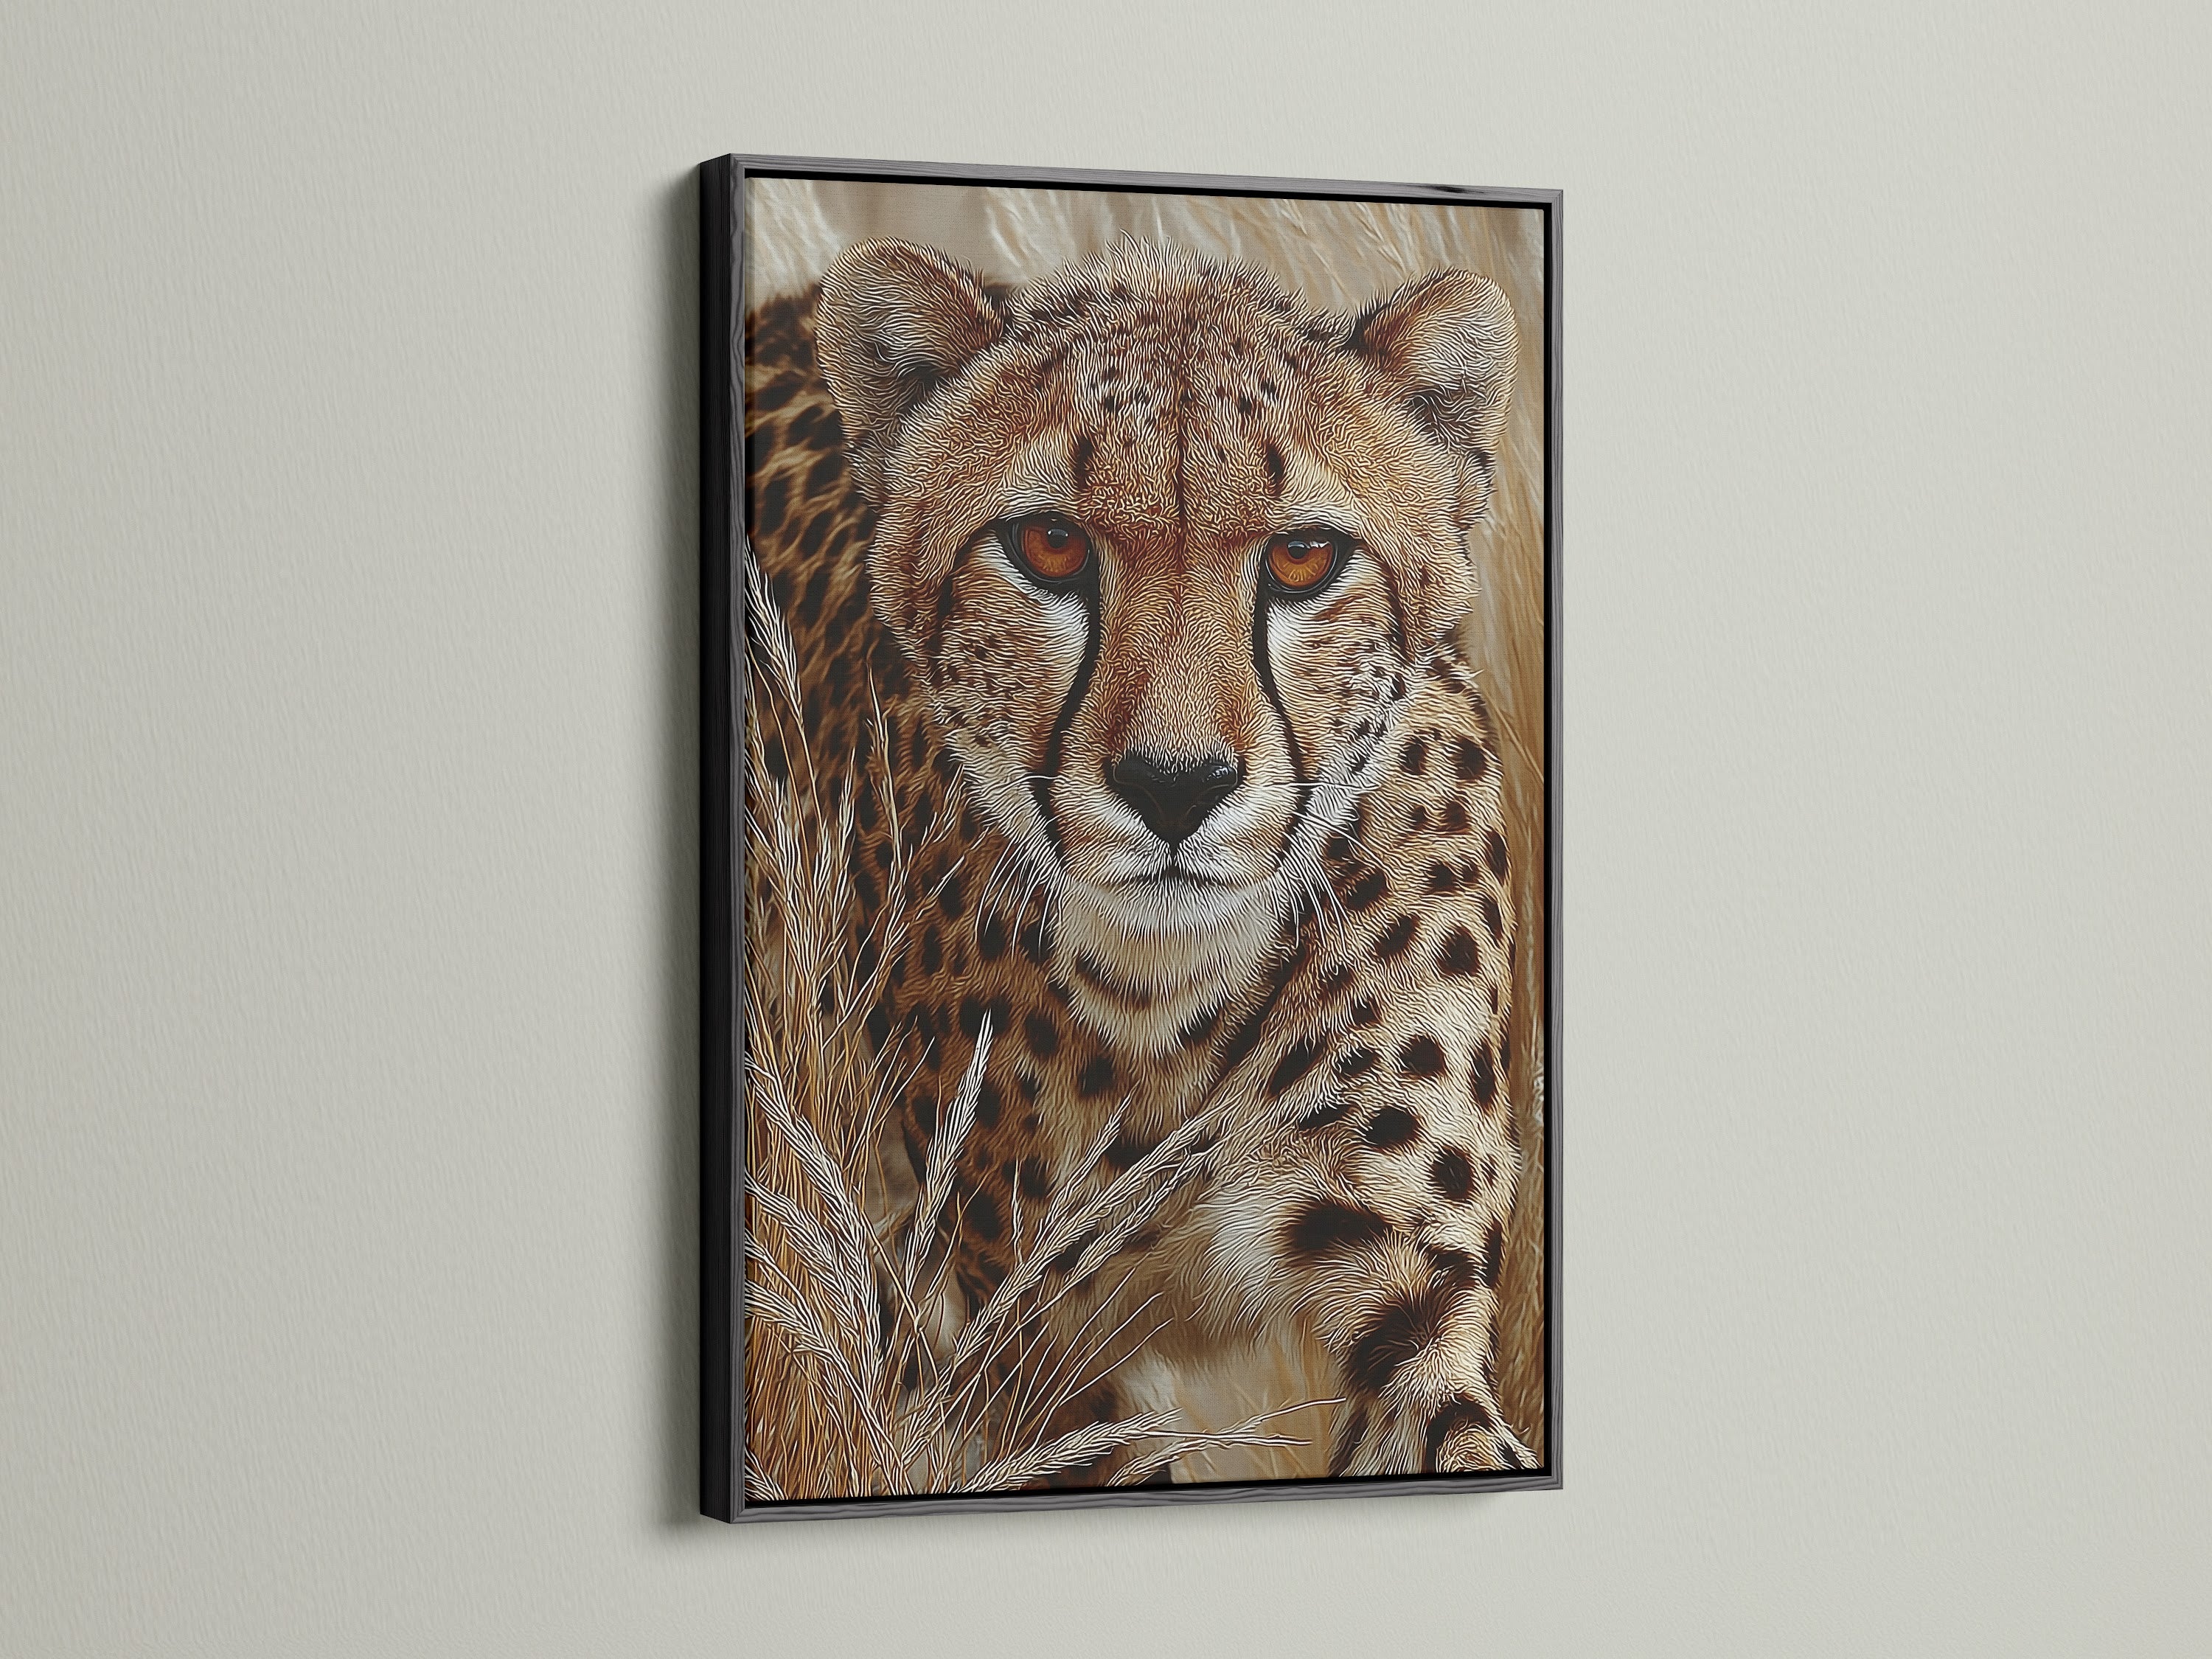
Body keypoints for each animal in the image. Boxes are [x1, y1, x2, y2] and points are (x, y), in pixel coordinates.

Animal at [743, 234, 1539, 1483]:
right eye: (1049, 544)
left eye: (1303, 558)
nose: (1176, 785)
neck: (1173, 1006)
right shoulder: (1033, 1351)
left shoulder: (1411, 1289)